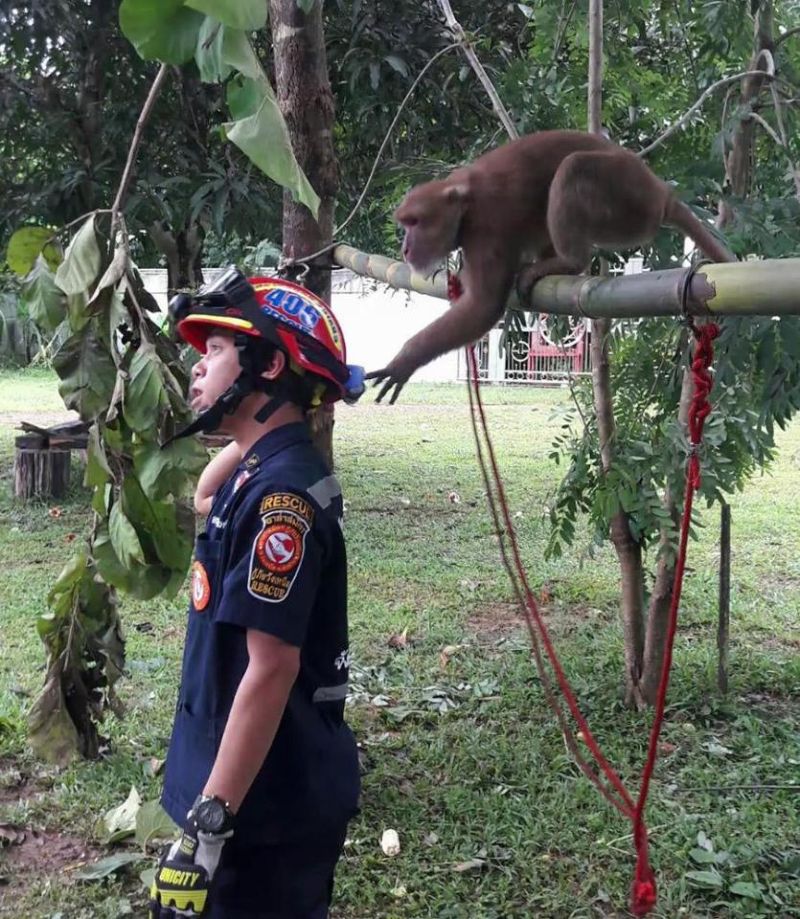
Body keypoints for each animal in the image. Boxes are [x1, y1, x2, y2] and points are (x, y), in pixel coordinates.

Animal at [366, 130, 736, 402]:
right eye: (405, 224)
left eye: (415, 222)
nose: (405, 246)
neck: (464, 202)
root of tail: (661, 193)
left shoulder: (486, 228)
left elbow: (483, 307)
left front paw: (405, 360)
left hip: (628, 200)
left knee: (575, 168)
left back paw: (569, 261)